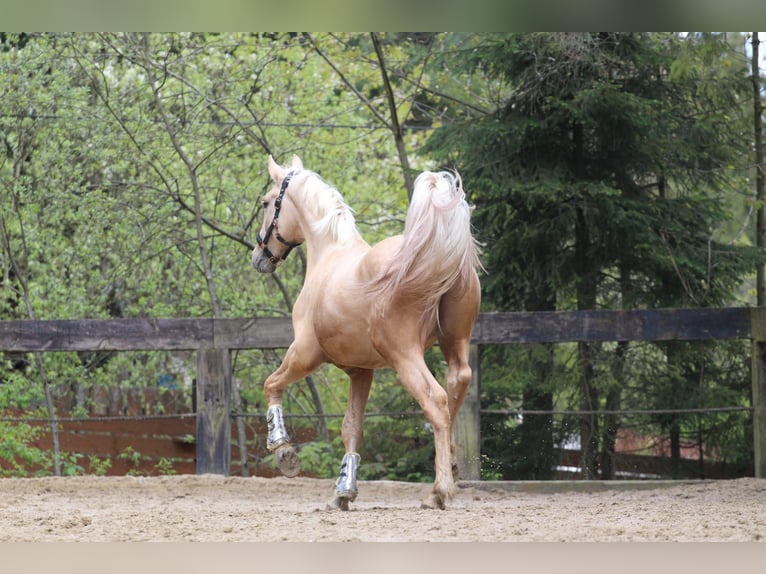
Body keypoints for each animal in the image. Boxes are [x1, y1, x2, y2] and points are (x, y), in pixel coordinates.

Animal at [252, 155, 480, 510]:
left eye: (266, 202)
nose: (259, 256)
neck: (330, 253)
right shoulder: (361, 371)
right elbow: (352, 427)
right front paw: (344, 491)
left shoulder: (304, 354)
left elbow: (271, 384)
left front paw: (283, 451)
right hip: (455, 344)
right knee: (457, 386)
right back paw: (449, 472)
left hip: (405, 357)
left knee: (436, 401)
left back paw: (439, 491)